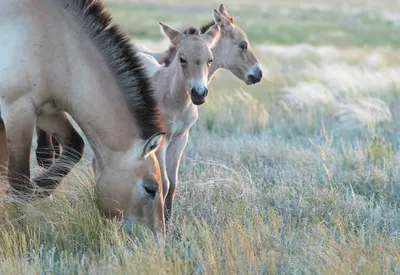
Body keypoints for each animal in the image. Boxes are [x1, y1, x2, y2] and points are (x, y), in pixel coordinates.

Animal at [0, 0, 166, 238]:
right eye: (151, 188)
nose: (158, 239)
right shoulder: (18, 111)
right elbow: (18, 181)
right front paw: (19, 224)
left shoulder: (45, 111)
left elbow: (74, 148)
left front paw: (39, 188)